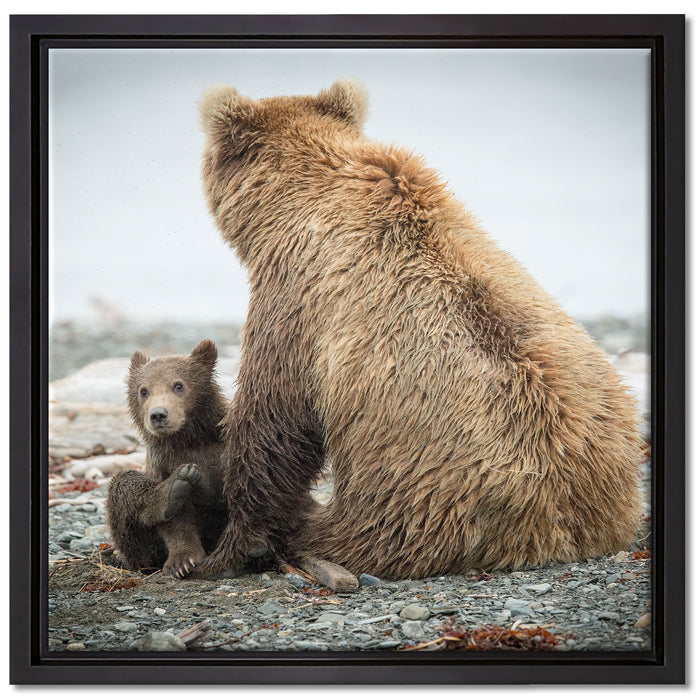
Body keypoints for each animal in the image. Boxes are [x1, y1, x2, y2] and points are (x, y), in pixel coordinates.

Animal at [106, 340, 230, 578]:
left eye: (178, 385)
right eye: (143, 390)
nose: (158, 414)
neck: (189, 439)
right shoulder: (164, 463)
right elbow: (176, 523)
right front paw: (182, 562)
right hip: (142, 551)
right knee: (124, 484)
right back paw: (172, 489)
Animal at [193, 80, 643, 580]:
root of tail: (563, 529)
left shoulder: (296, 295)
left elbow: (273, 418)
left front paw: (230, 547)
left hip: (419, 497)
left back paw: (306, 537)